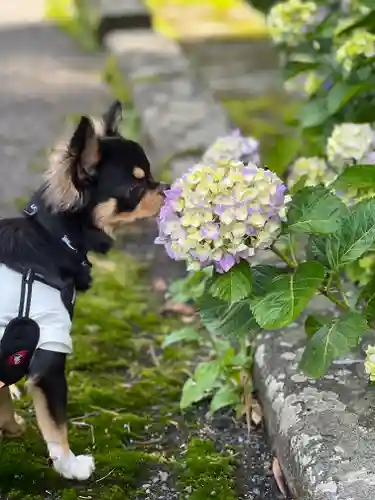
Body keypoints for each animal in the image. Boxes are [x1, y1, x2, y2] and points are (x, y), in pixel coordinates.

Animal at [0, 100, 168, 480]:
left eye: (151, 176)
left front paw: (11, 424)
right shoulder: (48, 348)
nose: (166, 189)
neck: (52, 237)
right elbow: (56, 423)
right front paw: (70, 465)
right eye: (136, 187)